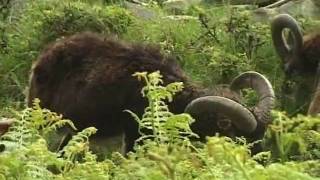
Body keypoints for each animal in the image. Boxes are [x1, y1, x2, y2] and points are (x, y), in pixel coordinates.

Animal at [25, 31, 276, 154]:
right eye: (238, 137)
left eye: (261, 135)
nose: (259, 162)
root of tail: (45, 55)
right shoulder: (136, 132)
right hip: (40, 117)